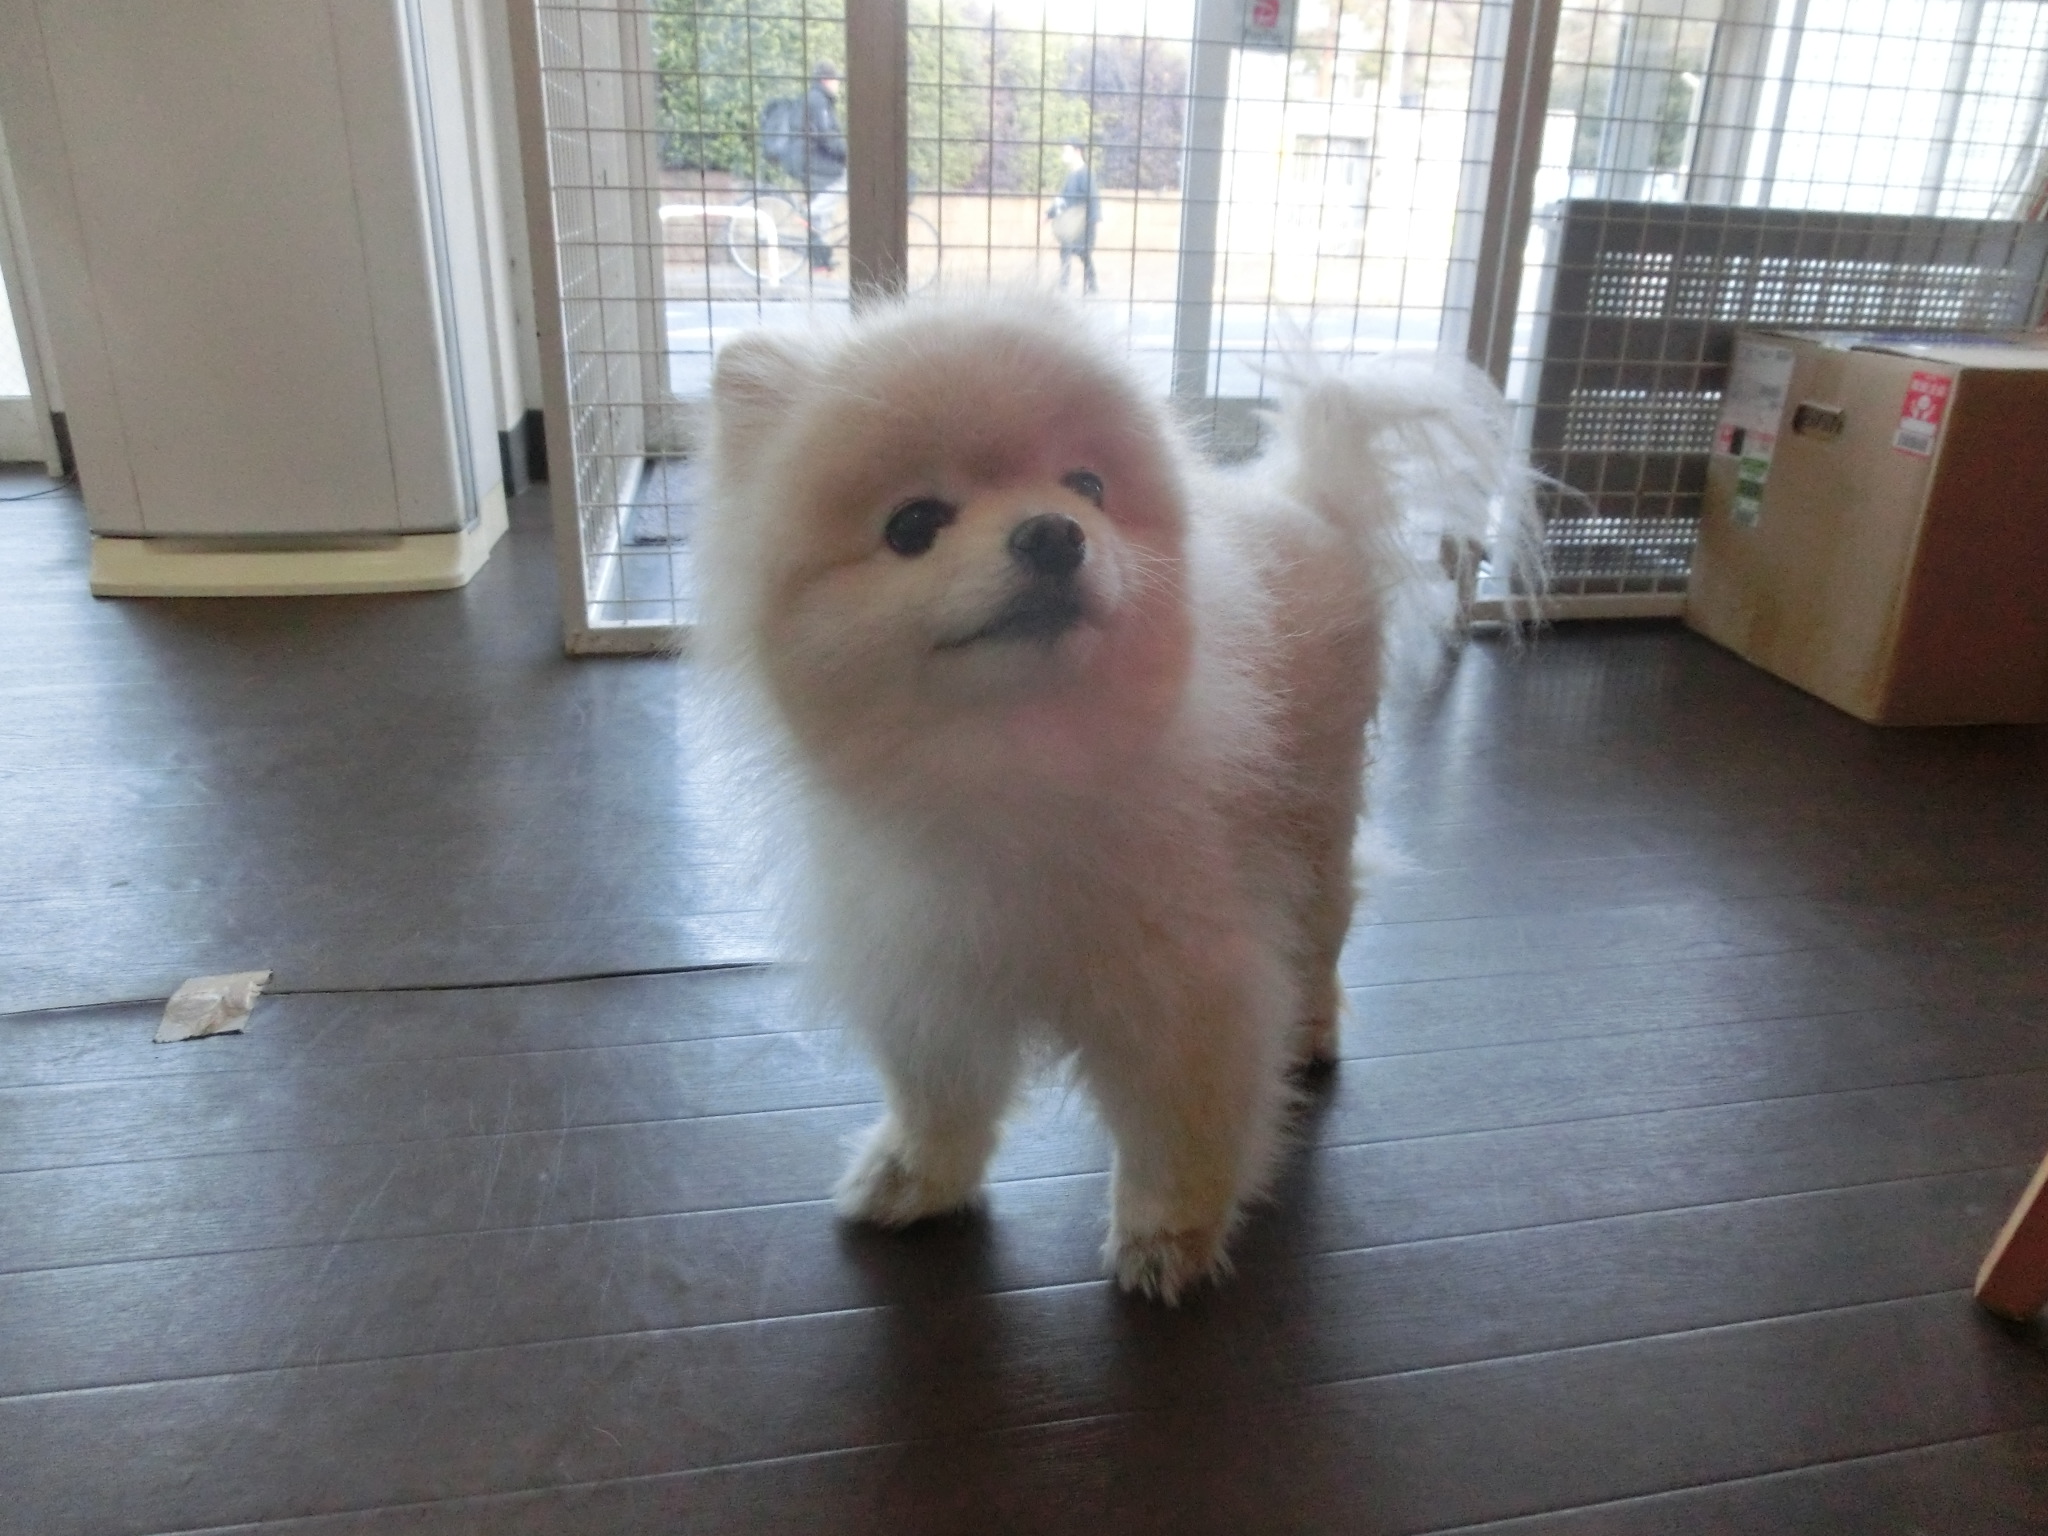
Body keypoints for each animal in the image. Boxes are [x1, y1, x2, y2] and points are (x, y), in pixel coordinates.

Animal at [698, 292, 1533, 1301]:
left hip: (1317, 819)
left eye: (1088, 486)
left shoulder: (1185, 980)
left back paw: (1310, 1031)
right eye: (912, 524)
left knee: (1321, 934)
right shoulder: (930, 964)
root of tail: (1305, 496)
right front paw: (916, 1178)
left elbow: (1181, 1122)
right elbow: (940, 1095)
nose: (1054, 532)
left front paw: (1168, 1238)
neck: (1014, 767)